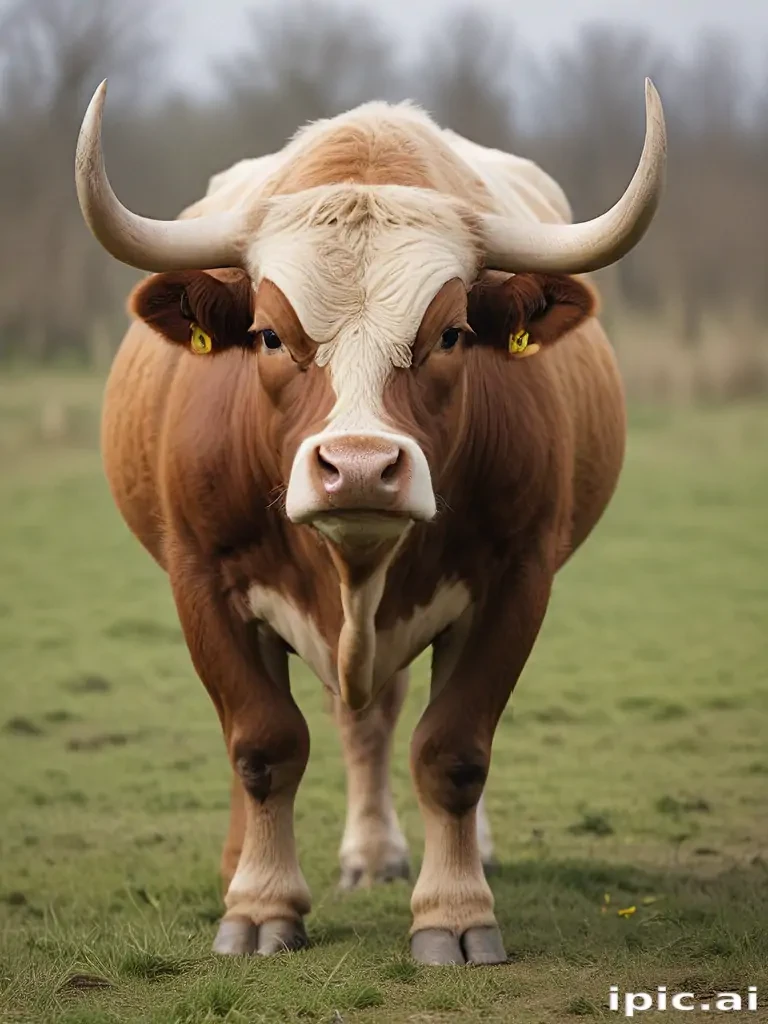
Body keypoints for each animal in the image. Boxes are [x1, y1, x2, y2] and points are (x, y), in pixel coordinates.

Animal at [74, 80, 665, 965]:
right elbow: (262, 743)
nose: (357, 467)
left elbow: (453, 749)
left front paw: (454, 913)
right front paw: (258, 905)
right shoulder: (202, 579)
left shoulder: (516, 579)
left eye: (452, 333)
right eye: (267, 334)